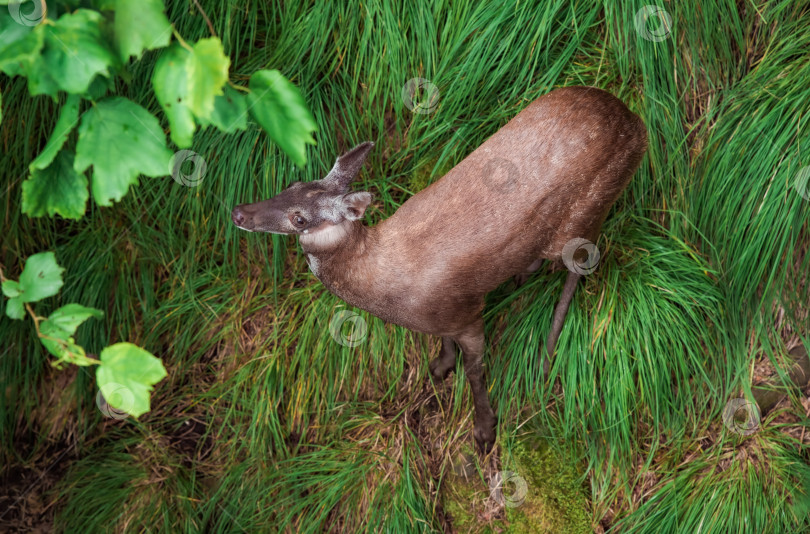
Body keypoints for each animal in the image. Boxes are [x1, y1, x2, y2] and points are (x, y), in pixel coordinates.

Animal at [230, 86, 648, 454]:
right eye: (292, 182)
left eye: (299, 218)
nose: (237, 212)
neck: (386, 285)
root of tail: (636, 123)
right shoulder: (445, 318)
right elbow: (446, 347)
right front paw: (440, 366)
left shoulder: (468, 312)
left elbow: (476, 370)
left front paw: (485, 431)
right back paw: (521, 275)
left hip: (590, 207)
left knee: (584, 260)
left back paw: (549, 347)